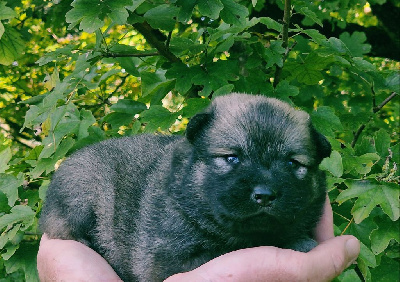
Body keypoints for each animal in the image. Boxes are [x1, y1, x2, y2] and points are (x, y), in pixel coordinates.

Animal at [39, 93, 332, 280]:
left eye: (293, 164)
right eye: (232, 158)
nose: (265, 195)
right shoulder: (169, 260)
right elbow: (230, 249)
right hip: (82, 191)